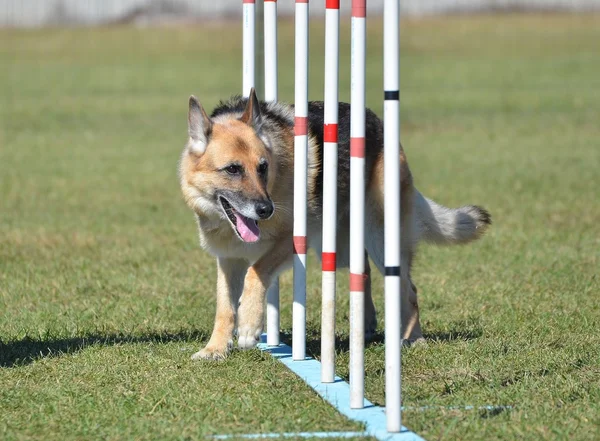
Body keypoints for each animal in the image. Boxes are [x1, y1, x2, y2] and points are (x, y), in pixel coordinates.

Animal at [177, 87, 488, 360]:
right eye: (233, 169)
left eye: (263, 168)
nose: (266, 210)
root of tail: (380, 124)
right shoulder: (228, 259)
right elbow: (224, 307)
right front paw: (215, 348)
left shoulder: (290, 241)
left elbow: (256, 272)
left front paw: (249, 326)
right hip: (342, 247)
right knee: (363, 273)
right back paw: (366, 326)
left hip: (380, 238)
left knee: (408, 289)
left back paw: (414, 338)